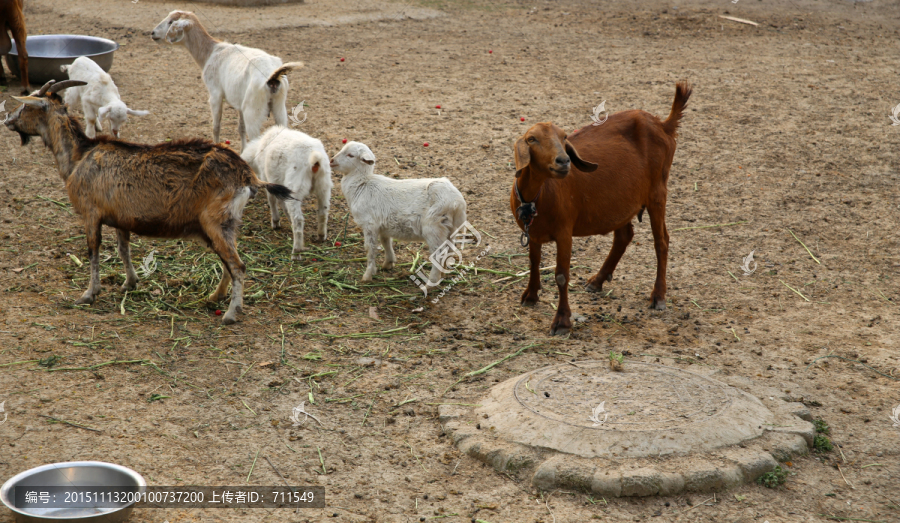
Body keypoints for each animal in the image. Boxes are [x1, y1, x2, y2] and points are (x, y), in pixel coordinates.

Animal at [5, 80, 294, 326]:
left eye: (26, 105)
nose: (7, 120)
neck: (79, 156)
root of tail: (247, 175)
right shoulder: (119, 217)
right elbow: (123, 249)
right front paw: (129, 283)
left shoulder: (90, 213)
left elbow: (93, 251)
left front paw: (88, 294)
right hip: (223, 224)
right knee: (228, 261)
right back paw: (214, 297)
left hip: (215, 221)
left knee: (237, 265)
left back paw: (231, 313)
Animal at [149, 10, 302, 151]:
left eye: (171, 22)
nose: (153, 33)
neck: (210, 52)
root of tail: (273, 76)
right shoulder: (239, 102)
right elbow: (240, 128)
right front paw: (242, 151)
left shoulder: (215, 93)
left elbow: (216, 126)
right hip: (279, 107)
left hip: (253, 109)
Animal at [241, 125, 332, 260]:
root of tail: (315, 158)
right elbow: (281, 202)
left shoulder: (269, 180)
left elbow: (272, 201)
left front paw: (275, 222)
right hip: (324, 185)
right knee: (323, 212)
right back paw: (321, 236)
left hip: (295, 187)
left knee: (298, 220)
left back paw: (296, 252)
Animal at [332, 141, 472, 284]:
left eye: (350, 155)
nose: (332, 161)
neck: (362, 184)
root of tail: (457, 202)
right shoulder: (383, 226)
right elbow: (386, 242)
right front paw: (388, 263)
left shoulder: (369, 225)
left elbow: (370, 248)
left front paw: (367, 275)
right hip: (450, 228)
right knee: (448, 249)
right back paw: (442, 275)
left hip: (434, 227)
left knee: (438, 253)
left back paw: (430, 283)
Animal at [510, 82, 692, 336]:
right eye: (532, 139)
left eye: (564, 137)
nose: (564, 161)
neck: (539, 195)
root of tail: (664, 125)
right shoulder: (534, 232)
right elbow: (534, 262)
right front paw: (530, 296)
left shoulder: (564, 231)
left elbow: (561, 275)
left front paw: (562, 321)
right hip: (622, 201)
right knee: (624, 236)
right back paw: (597, 280)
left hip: (658, 191)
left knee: (661, 241)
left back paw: (658, 297)